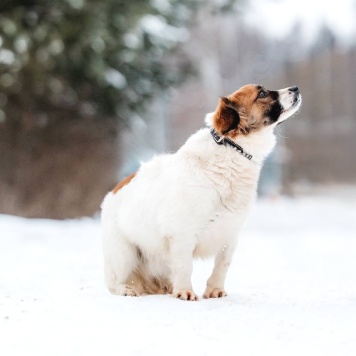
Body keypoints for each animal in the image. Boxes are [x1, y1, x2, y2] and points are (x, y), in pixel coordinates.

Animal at [101, 84, 302, 300]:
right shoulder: (182, 234)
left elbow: (222, 265)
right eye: (262, 94)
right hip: (124, 254)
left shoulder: (230, 233)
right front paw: (184, 292)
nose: (295, 88)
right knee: (113, 283)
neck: (232, 150)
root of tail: (114, 191)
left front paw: (215, 290)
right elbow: (185, 266)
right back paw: (127, 289)